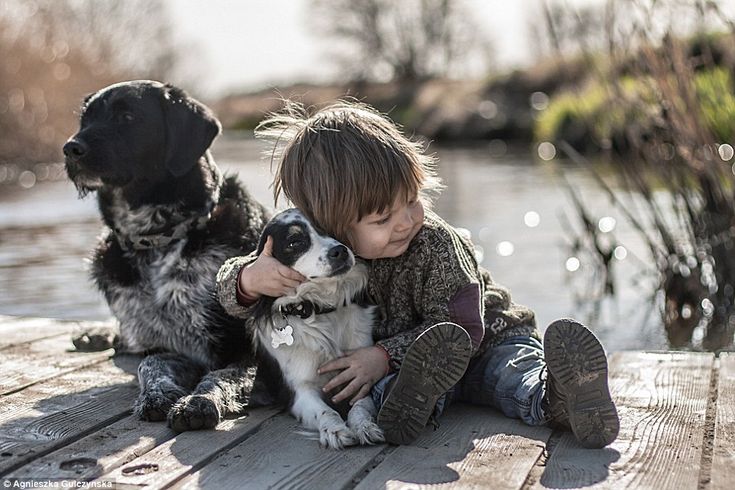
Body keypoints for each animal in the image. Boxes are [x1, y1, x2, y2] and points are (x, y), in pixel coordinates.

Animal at [61, 80, 276, 432]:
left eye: (127, 116)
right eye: (84, 119)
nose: (71, 148)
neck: (158, 240)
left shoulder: (247, 351)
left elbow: (220, 376)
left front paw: (197, 401)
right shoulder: (166, 345)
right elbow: (149, 365)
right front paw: (156, 394)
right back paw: (98, 334)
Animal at [250, 209, 386, 450]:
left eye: (328, 225)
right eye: (295, 242)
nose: (339, 251)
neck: (319, 308)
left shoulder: (360, 374)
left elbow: (361, 405)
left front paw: (364, 426)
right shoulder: (299, 390)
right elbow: (326, 412)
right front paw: (336, 431)